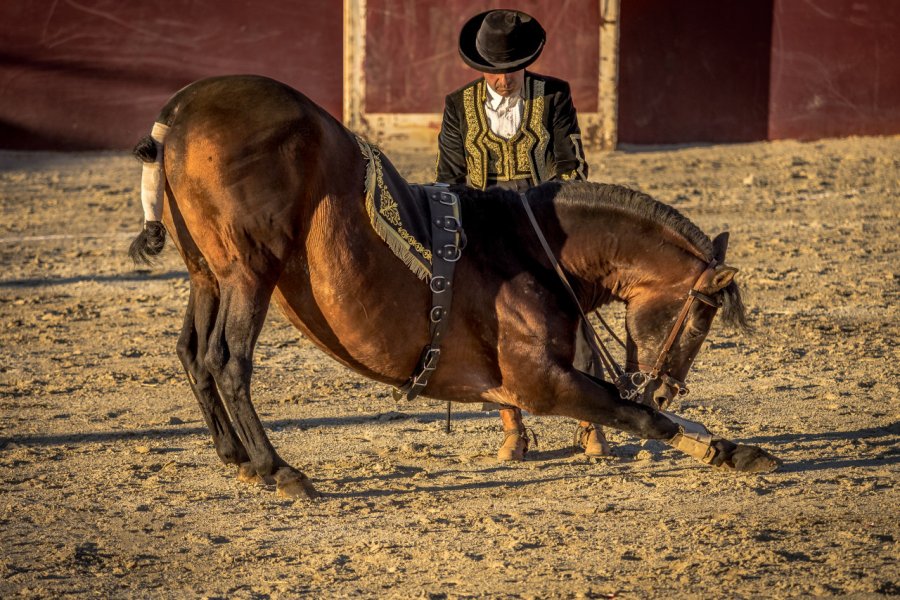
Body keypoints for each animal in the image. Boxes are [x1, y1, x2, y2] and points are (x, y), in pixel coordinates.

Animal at [128, 74, 780, 496]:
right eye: (701, 317)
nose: (666, 388)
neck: (532, 249)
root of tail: (181, 109)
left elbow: (636, 411)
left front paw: (726, 447)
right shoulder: (539, 380)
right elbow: (637, 416)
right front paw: (715, 445)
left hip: (207, 275)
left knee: (193, 354)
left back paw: (236, 456)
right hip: (249, 273)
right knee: (227, 360)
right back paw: (277, 469)